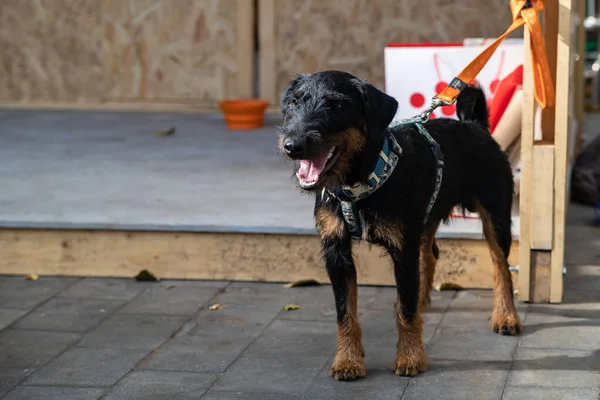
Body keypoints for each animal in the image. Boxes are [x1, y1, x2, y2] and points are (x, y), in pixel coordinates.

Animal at [278, 71, 524, 382]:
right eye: (295, 102)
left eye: (336, 105)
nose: (292, 145)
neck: (360, 184)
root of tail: (475, 126)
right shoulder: (336, 252)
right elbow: (345, 312)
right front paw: (347, 360)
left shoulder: (402, 251)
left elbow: (405, 311)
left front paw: (410, 357)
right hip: (426, 219)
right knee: (430, 255)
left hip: (496, 215)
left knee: (500, 264)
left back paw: (506, 316)